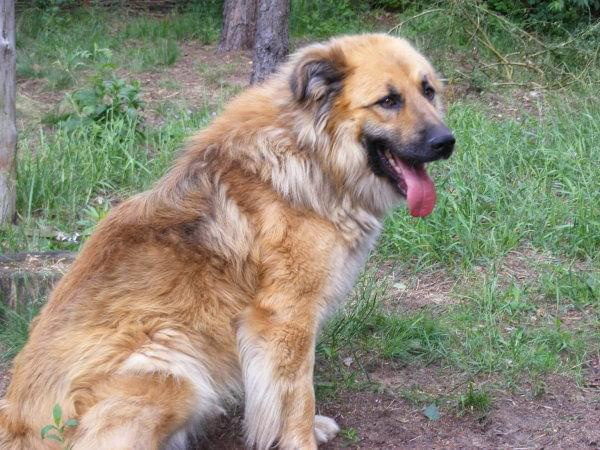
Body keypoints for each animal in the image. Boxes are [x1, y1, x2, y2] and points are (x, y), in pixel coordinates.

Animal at [0, 35, 450, 450]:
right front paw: (300, 438)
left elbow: (280, 394)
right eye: (388, 101)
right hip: (173, 364)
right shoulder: (287, 318)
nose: (447, 142)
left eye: (428, 90)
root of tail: (17, 425)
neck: (311, 153)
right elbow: (297, 394)